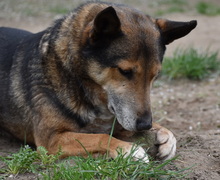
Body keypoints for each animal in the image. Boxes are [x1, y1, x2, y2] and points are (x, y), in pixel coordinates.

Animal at [0, 1, 197, 162]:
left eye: (155, 75)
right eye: (125, 71)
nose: (145, 125)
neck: (78, 82)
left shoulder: (119, 119)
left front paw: (166, 136)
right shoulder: (50, 140)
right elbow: (98, 137)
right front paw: (129, 149)